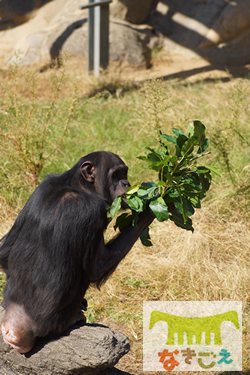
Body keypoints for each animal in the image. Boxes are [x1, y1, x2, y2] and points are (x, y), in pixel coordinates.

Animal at [0, 151, 154, 354]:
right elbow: (96, 268)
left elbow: (5, 252)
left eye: (124, 173)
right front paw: (154, 203)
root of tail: (13, 326)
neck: (79, 185)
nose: (126, 184)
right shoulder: (94, 212)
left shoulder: (40, 188)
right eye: (115, 175)